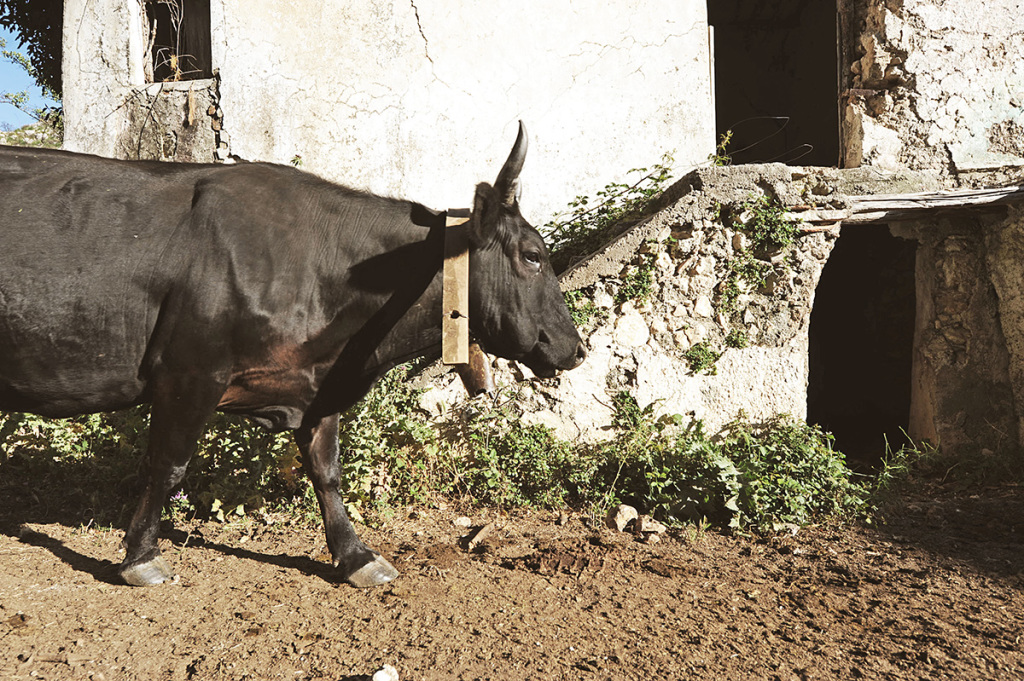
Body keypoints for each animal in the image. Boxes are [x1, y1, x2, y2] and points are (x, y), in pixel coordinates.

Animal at [2, 124, 585, 585]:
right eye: (533, 255)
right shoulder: (190, 373)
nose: (575, 349)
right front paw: (140, 557)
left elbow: (326, 471)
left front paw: (356, 556)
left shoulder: (318, 385)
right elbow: (168, 465)